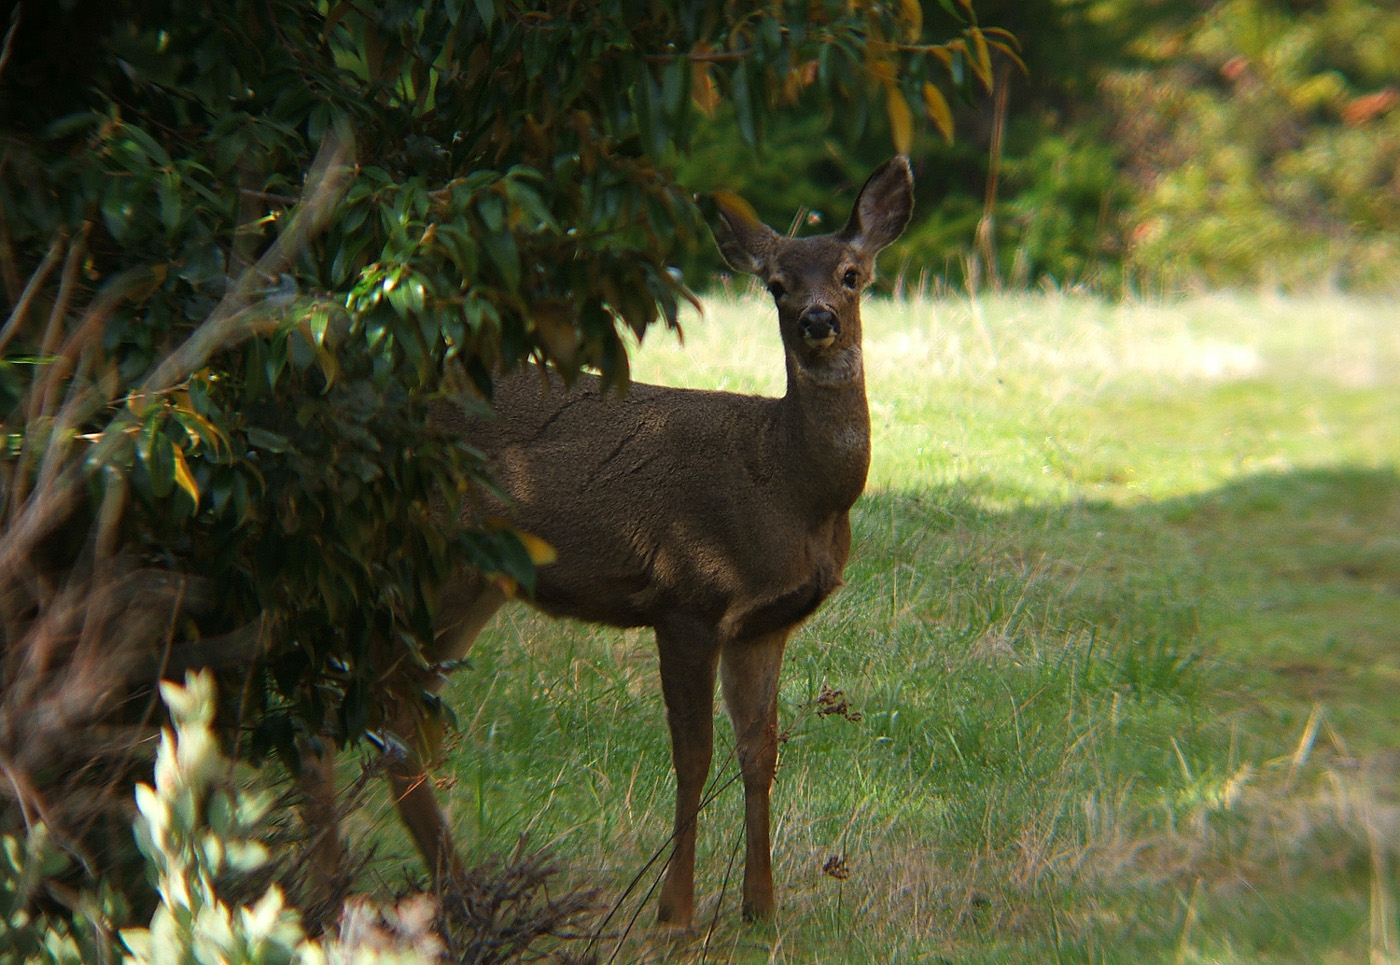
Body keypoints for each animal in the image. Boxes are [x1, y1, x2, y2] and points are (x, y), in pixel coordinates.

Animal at [363, 156, 914, 928]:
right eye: (776, 284)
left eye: (851, 273)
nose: (817, 320)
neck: (793, 486)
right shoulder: (688, 591)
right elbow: (693, 757)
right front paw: (675, 912)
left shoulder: (764, 623)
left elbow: (759, 755)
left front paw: (760, 907)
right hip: (426, 559)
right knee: (373, 711)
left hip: (472, 583)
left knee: (399, 718)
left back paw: (453, 891)